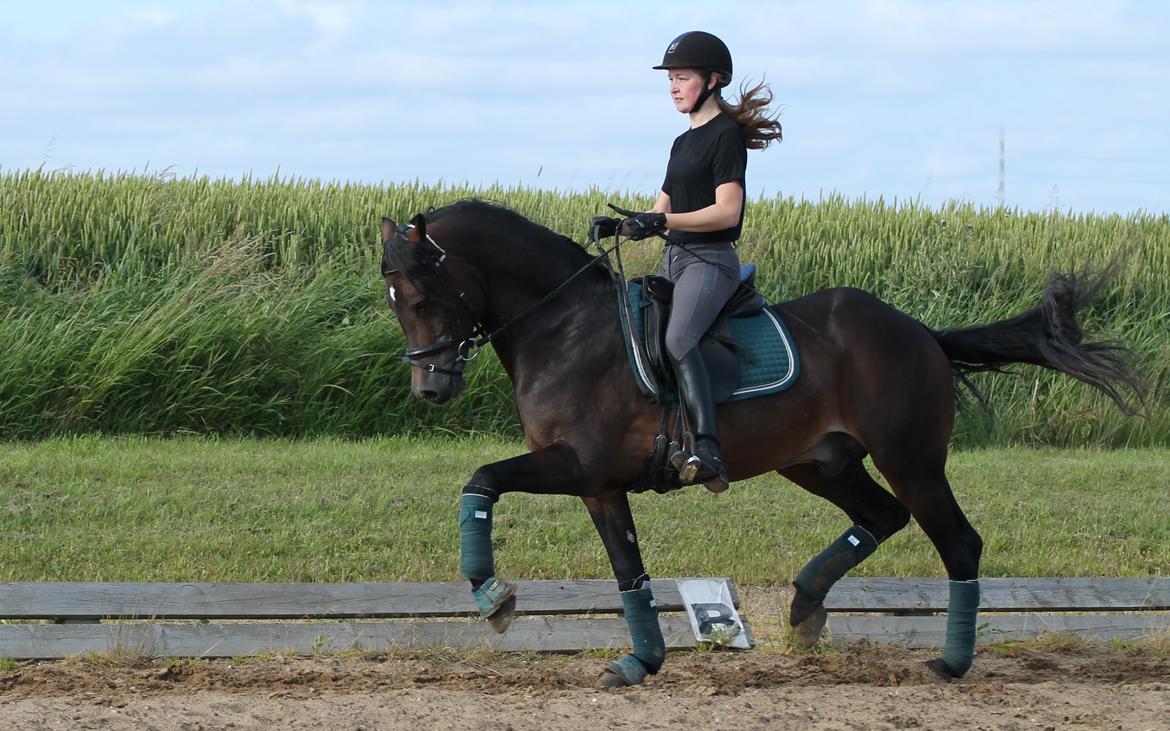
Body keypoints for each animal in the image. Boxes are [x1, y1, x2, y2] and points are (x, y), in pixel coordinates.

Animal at [381, 197, 1141, 683]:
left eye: (420, 296)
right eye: (394, 303)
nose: (431, 390)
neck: (563, 325)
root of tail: (920, 330)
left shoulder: (577, 463)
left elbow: (481, 478)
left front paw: (492, 596)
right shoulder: (599, 484)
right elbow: (629, 570)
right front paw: (641, 661)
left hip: (911, 458)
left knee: (957, 542)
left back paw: (950, 662)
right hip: (819, 462)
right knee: (881, 516)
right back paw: (804, 606)